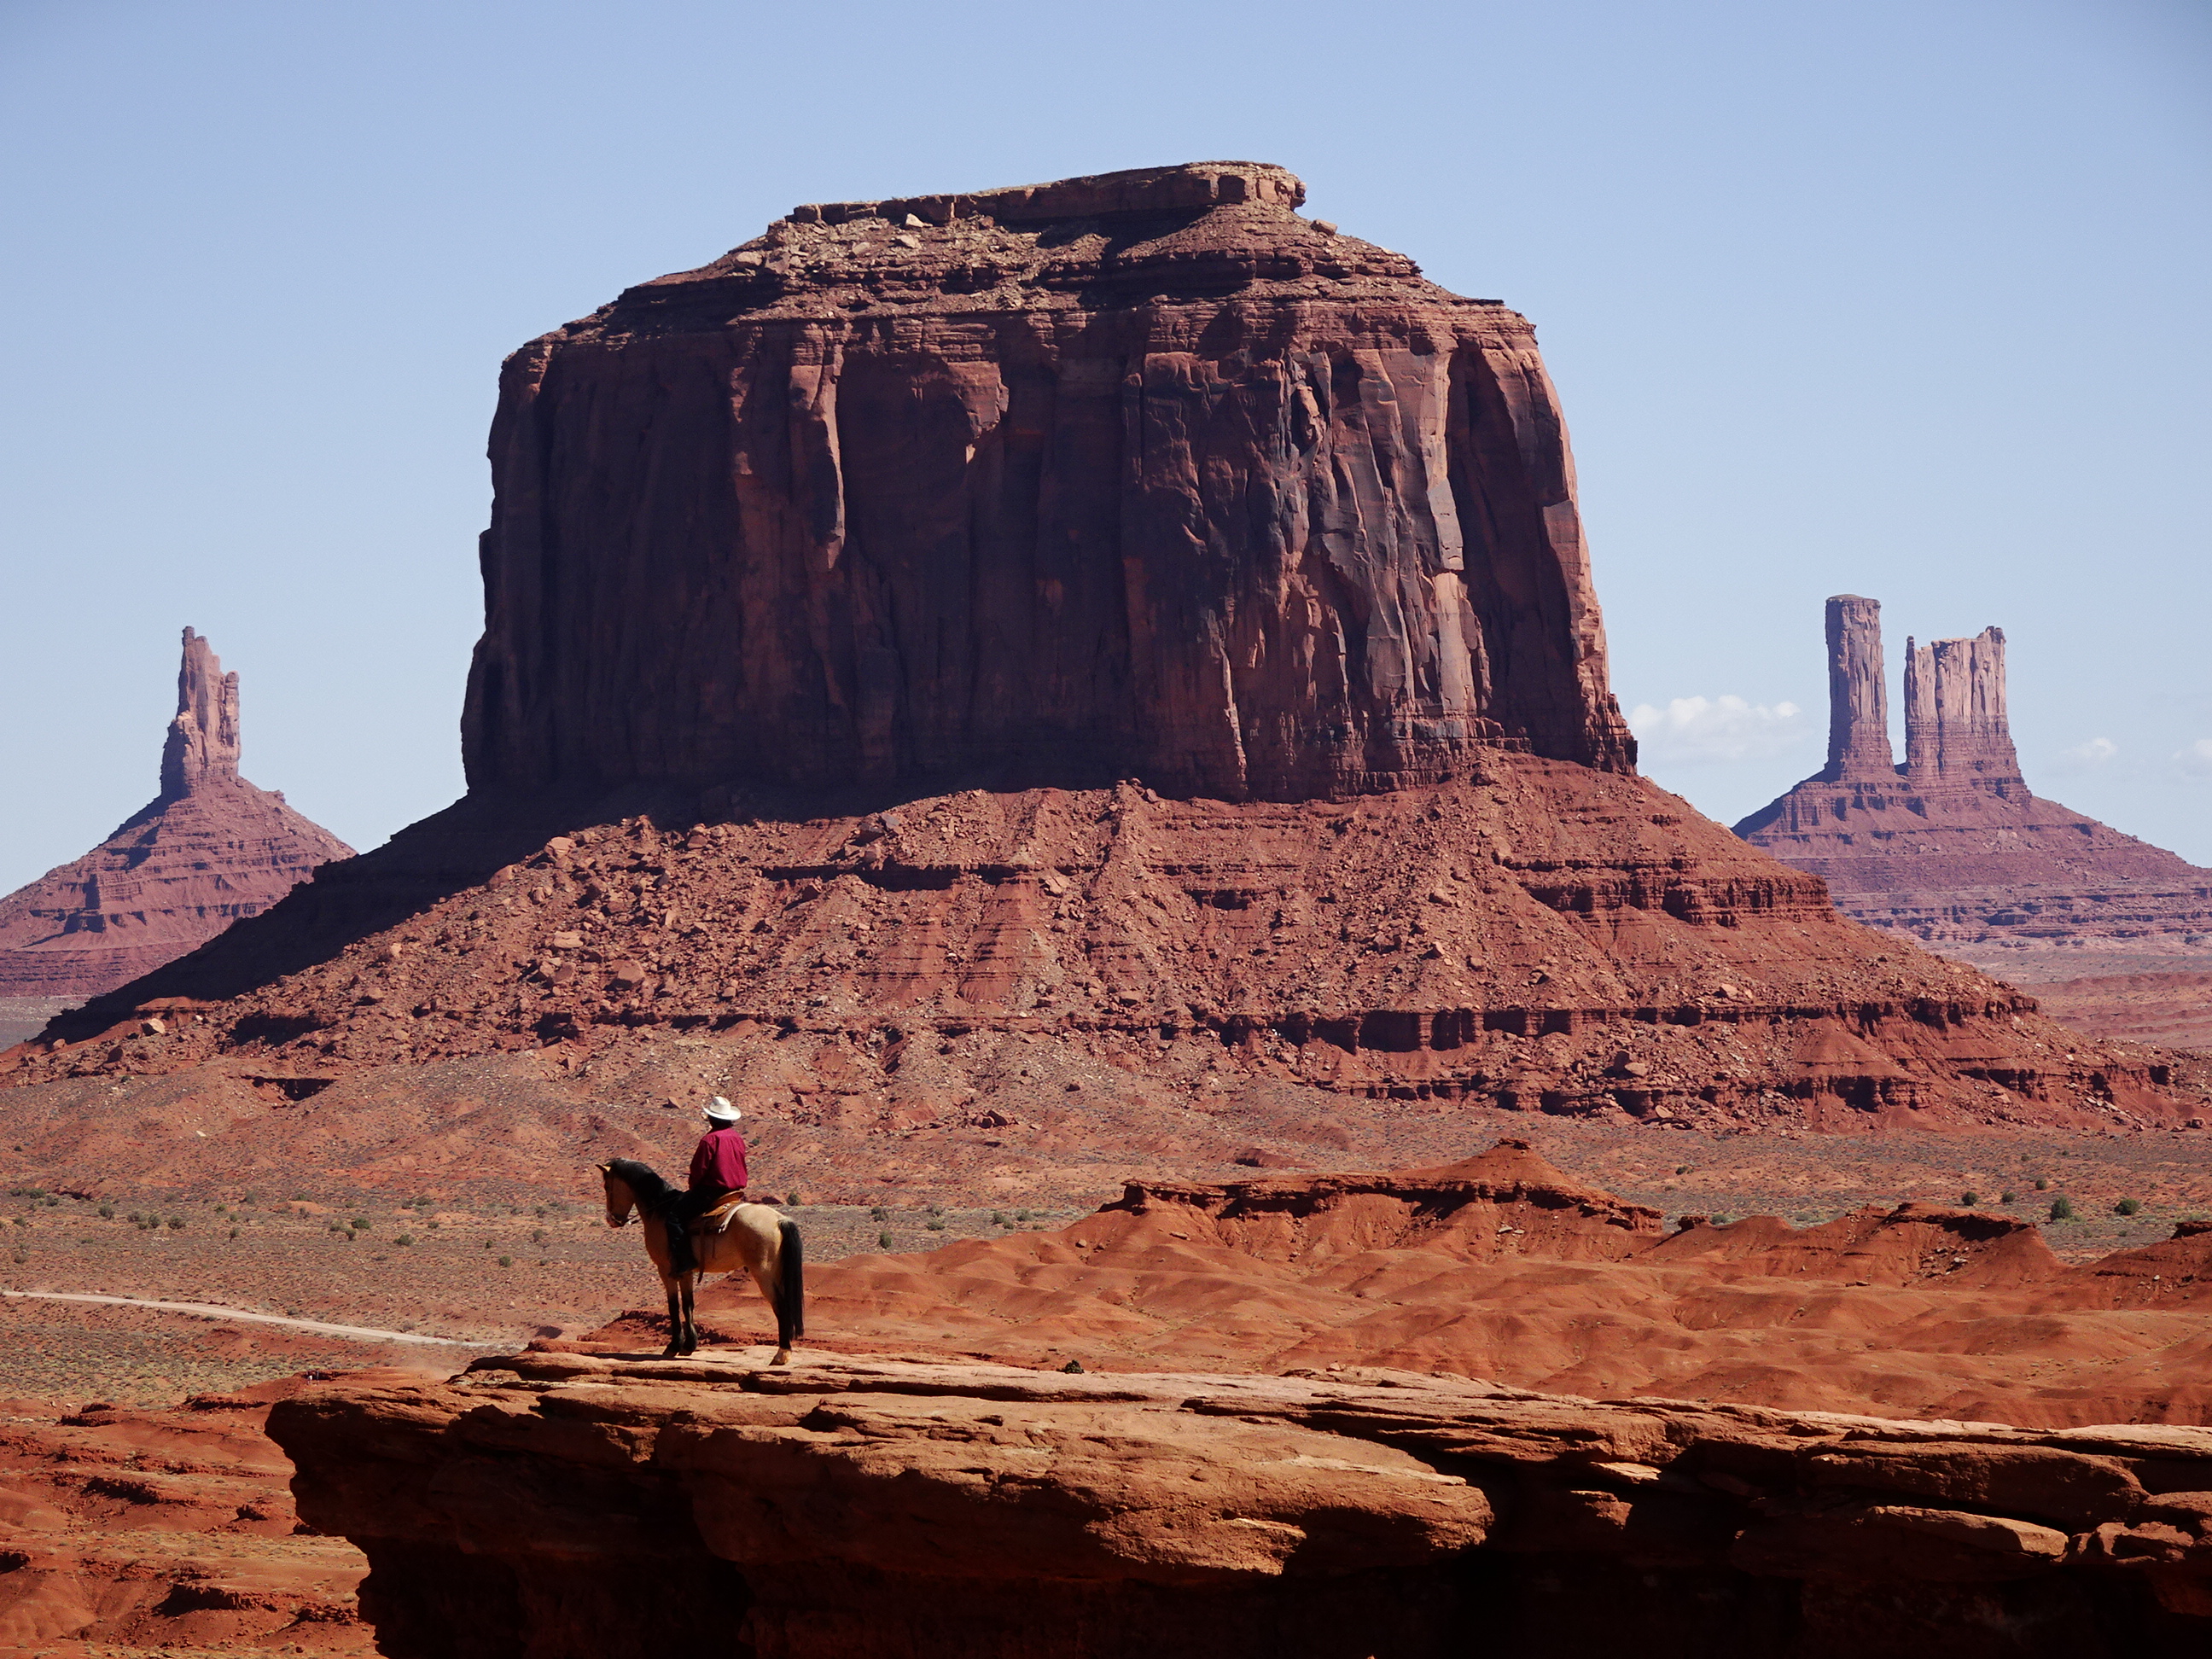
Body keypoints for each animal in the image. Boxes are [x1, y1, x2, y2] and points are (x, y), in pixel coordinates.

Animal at [597, 1159, 805, 1371]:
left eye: (607, 1186)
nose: (611, 1219)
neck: (660, 1210)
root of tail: (780, 1220)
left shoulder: (665, 1269)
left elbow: (673, 1305)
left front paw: (673, 1346)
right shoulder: (686, 1271)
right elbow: (688, 1304)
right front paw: (689, 1345)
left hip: (763, 1273)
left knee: (780, 1306)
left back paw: (781, 1355)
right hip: (777, 1271)